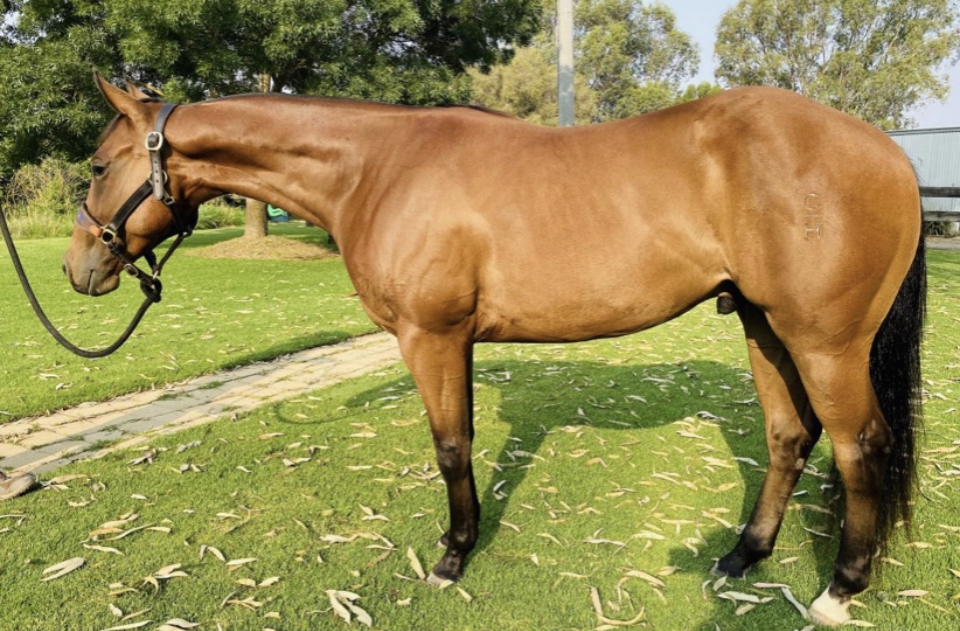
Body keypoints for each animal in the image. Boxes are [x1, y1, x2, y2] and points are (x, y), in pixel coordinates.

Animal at [64, 74, 925, 627]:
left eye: (98, 165)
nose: (79, 269)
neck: (378, 168)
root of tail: (890, 154)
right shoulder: (458, 341)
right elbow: (465, 437)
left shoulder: (432, 336)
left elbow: (450, 444)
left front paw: (452, 557)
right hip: (764, 328)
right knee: (789, 437)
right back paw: (744, 554)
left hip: (825, 343)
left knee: (859, 448)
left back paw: (840, 589)